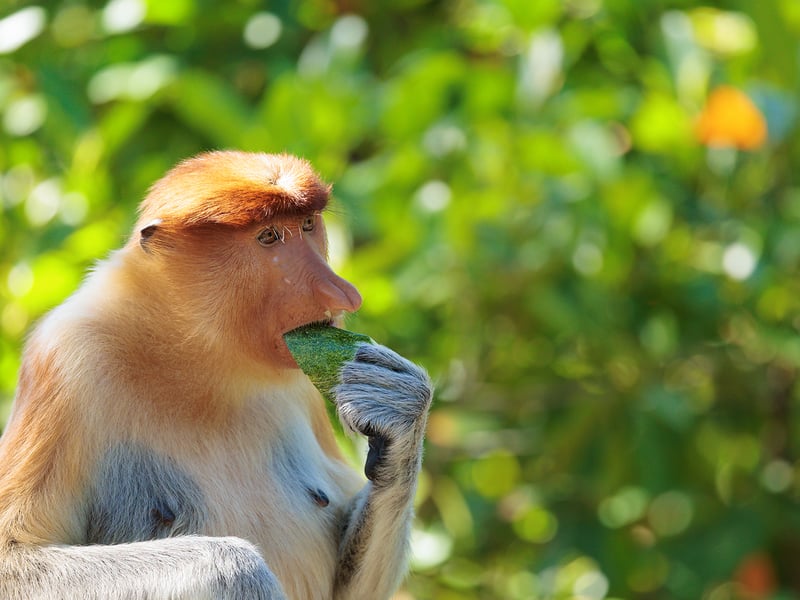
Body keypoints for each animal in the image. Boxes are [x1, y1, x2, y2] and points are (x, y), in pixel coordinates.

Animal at [0, 151, 433, 600]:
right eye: (269, 237)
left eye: (307, 225)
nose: (344, 294)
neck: (199, 355)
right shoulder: (68, 358)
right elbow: (15, 560)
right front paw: (243, 575)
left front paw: (399, 405)